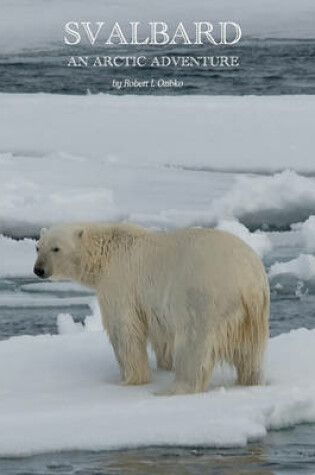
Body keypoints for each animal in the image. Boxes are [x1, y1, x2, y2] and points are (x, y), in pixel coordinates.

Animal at [35, 225, 272, 396]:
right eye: (38, 247)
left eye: (56, 248)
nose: (39, 269)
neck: (107, 253)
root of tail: (249, 278)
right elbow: (161, 335)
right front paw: (163, 366)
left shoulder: (120, 283)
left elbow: (124, 331)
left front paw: (130, 379)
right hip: (254, 314)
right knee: (251, 352)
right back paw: (250, 381)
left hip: (204, 297)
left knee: (193, 345)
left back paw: (173, 389)